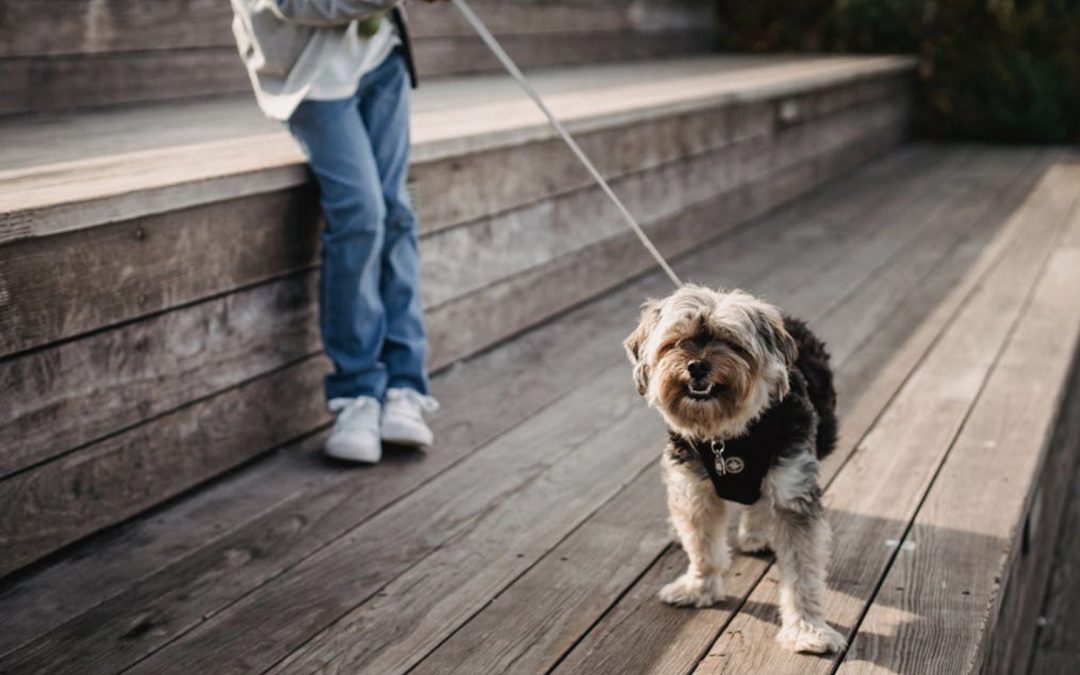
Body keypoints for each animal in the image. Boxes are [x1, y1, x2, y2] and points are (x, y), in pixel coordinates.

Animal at [630, 285, 846, 652]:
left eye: (731, 342)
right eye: (677, 341)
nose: (697, 365)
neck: (727, 437)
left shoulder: (793, 488)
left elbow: (802, 572)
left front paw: (807, 629)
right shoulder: (693, 489)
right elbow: (702, 546)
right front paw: (698, 588)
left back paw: (757, 534)